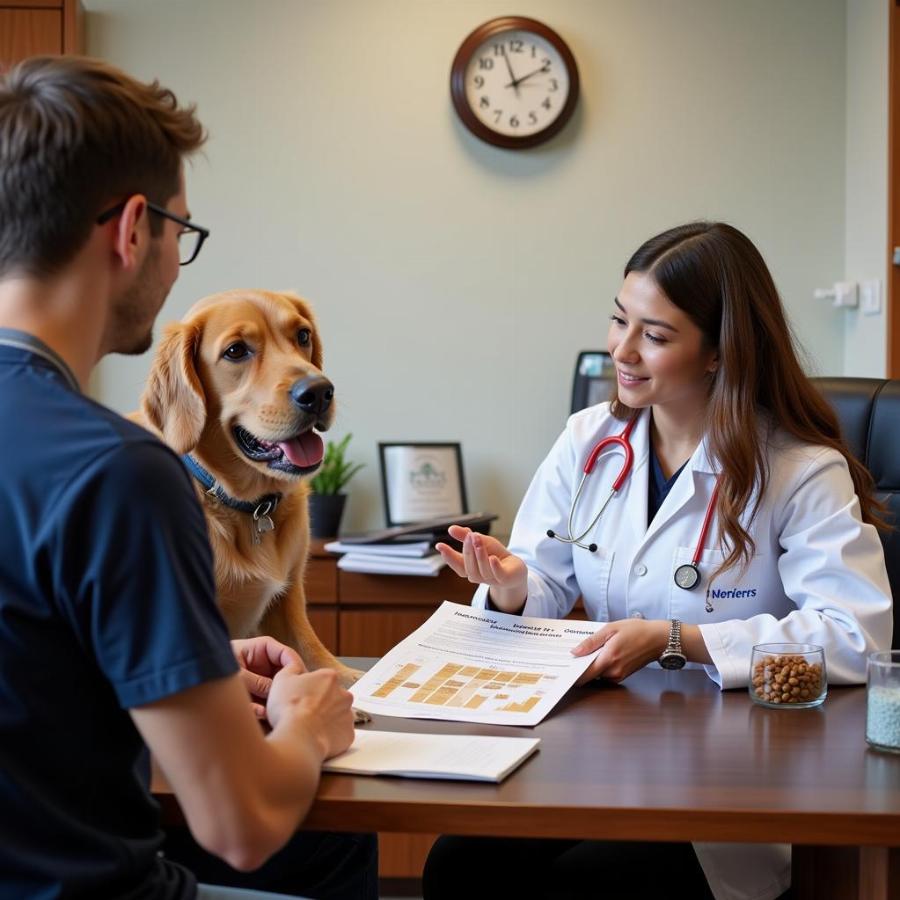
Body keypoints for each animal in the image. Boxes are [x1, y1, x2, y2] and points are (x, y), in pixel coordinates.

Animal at [132, 288, 360, 688]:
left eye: (302, 335)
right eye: (236, 351)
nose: (319, 392)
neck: (249, 506)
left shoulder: (287, 598)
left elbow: (316, 652)